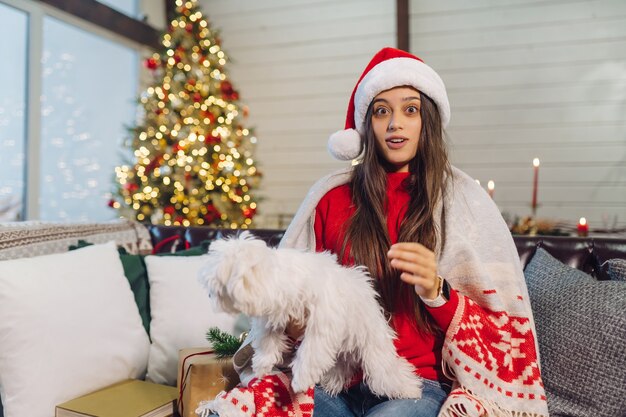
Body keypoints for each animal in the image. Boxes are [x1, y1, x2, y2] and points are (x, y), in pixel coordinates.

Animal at [197, 232, 422, 398]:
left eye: (216, 284)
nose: (208, 295)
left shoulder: (322, 324)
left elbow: (310, 352)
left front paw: (301, 379)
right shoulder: (274, 319)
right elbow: (268, 341)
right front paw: (262, 365)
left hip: (373, 350)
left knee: (385, 373)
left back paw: (410, 389)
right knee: (341, 366)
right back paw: (332, 382)